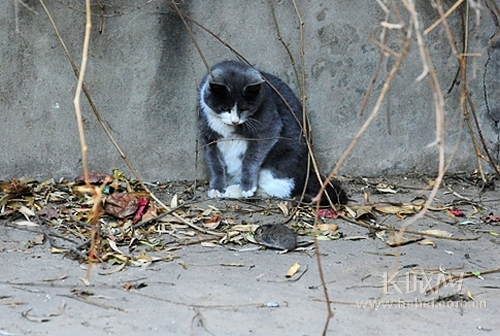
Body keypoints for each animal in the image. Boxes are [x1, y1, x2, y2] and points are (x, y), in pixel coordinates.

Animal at [197, 61, 346, 205]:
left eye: (245, 108)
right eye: (225, 108)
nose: (235, 121)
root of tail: (308, 174)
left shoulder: (269, 126)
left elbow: (251, 157)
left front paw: (247, 187)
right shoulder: (207, 136)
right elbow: (215, 163)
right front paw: (216, 188)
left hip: (281, 160)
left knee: (280, 189)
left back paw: (235, 190)